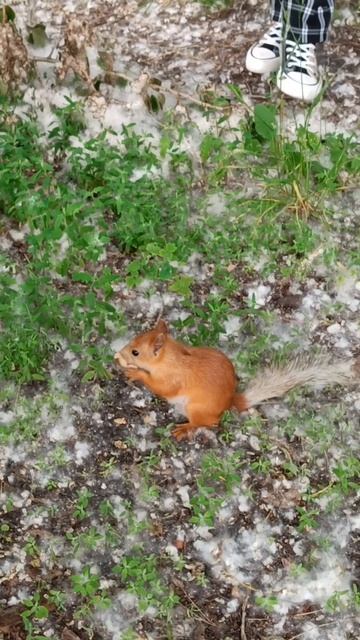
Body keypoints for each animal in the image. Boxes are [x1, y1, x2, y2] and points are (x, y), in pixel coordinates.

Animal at [114, 320, 358, 440]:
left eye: (136, 352)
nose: (120, 353)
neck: (172, 357)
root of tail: (230, 403)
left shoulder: (172, 379)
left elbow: (161, 387)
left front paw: (135, 373)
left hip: (196, 408)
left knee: (209, 423)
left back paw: (186, 428)